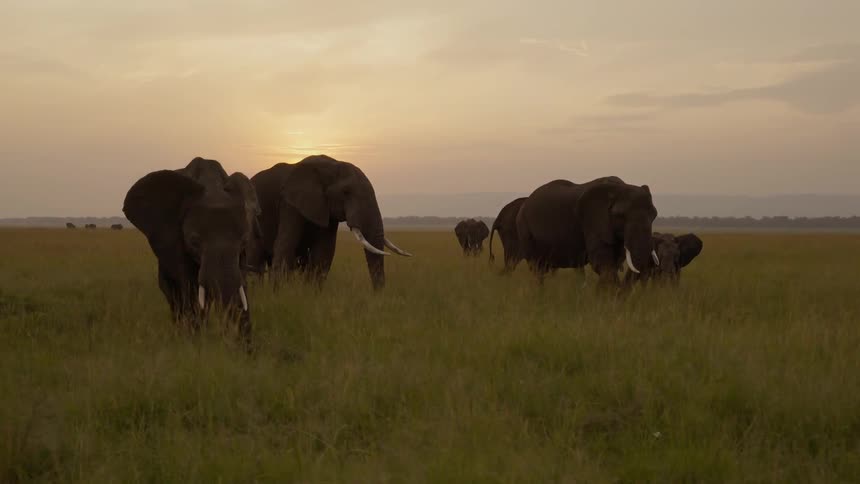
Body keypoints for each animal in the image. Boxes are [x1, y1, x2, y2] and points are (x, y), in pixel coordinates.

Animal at [123, 157, 259, 341]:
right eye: (194, 241)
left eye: (244, 240)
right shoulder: (176, 240)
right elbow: (190, 288)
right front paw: (195, 342)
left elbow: (239, 286)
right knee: (173, 295)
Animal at [250, 154, 411, 289]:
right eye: (346, 192)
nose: (377, 295)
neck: (331, 165)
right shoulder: (289, 204)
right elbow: (286, 246)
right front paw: (281, 296)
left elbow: (324, 252)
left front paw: (310, 294)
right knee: (256, 259)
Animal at [516, 176, 659, 287]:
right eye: (620, 215)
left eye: (654, 215)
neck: (617, 188)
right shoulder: (592, 219)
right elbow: (602, 261)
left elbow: (614, 261)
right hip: (525, 229)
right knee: (537, 268)